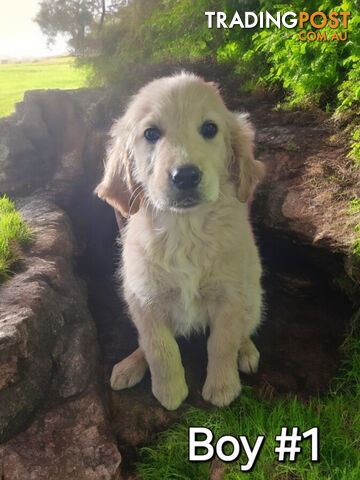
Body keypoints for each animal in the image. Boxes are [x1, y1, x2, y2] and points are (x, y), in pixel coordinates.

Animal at [95, 73, 264, 410]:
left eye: (210, 129)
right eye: (150, 133)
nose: (185, 176)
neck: (184, 229)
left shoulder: (231, 296)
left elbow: (223, 342)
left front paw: (223, 386)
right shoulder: (145, 299)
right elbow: (159, 348)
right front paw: (169, 392)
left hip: (254, 297)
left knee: (244, 330)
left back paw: (248, 351)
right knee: (144, 343)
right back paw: (130, 365)